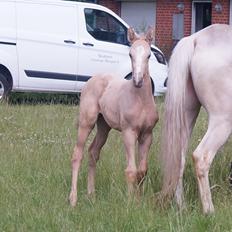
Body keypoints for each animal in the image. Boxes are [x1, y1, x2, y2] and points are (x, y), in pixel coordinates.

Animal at [69, 27, 160, 207]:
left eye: (148, 55)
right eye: (130, 54)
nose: (138, 81)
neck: (141, 100)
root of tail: (92, 79)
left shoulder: (147, 134)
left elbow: (142, 170)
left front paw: (139, 201)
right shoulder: (129, 132)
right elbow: (131, 170)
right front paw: (130, 203)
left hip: (104, 126)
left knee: (93, 152)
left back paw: (91, 194)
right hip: (86, 122)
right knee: (77, 155)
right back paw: (73, 199)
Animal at [160, 24, 232, 214]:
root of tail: (196, 39)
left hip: (187, 115)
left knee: (179, 158)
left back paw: (182, 206)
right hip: (222, 121)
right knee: (201, 157)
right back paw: (209, 211)